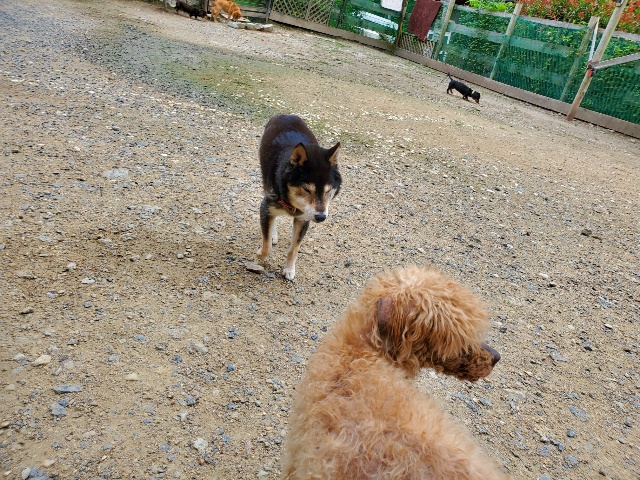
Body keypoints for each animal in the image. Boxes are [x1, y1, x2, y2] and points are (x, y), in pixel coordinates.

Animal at [257, 114, 341, 281]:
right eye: (307, 189)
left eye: (328, 191)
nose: (321, 217)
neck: (293, 205)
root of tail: (286, 115)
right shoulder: (266, 206)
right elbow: (266, 245)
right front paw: (261, 254)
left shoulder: (303, 219)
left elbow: (294, 249)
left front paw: (289, 269)